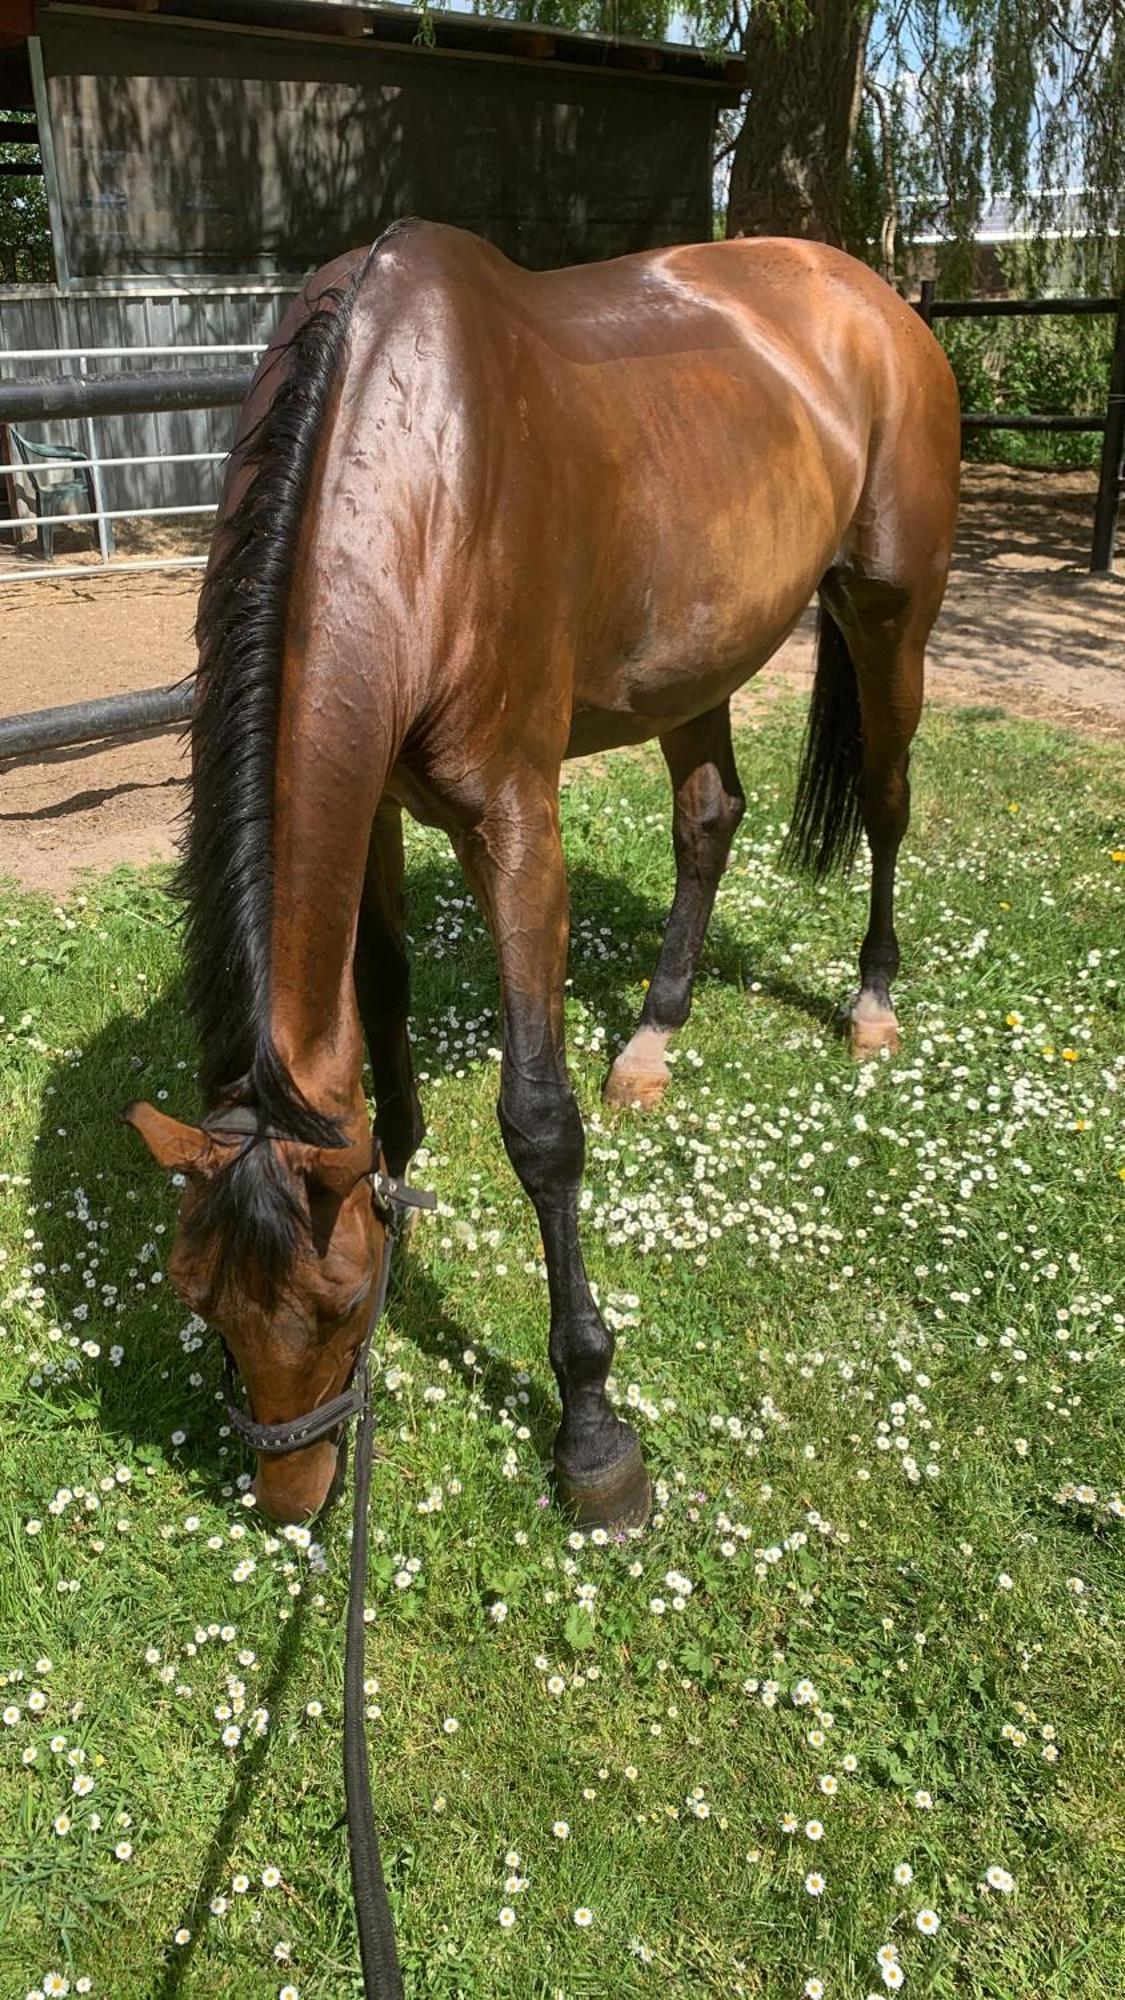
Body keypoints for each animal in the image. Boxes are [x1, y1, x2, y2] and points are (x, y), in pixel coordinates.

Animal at [127, 219, 960, 1520]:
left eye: (337, 1303)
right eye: (196, 1295)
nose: (295, 1494)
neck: (421, 475)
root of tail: (879, 296)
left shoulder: (515, 821)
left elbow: (539, 1122)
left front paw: (594, 1430)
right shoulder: (375, 803)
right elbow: (383, 1000)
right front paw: (396, 1167)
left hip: (892, 615)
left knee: (884, 801)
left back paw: (871, 998)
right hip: (698, 656)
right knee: (709, 818)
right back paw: (654, 1036)